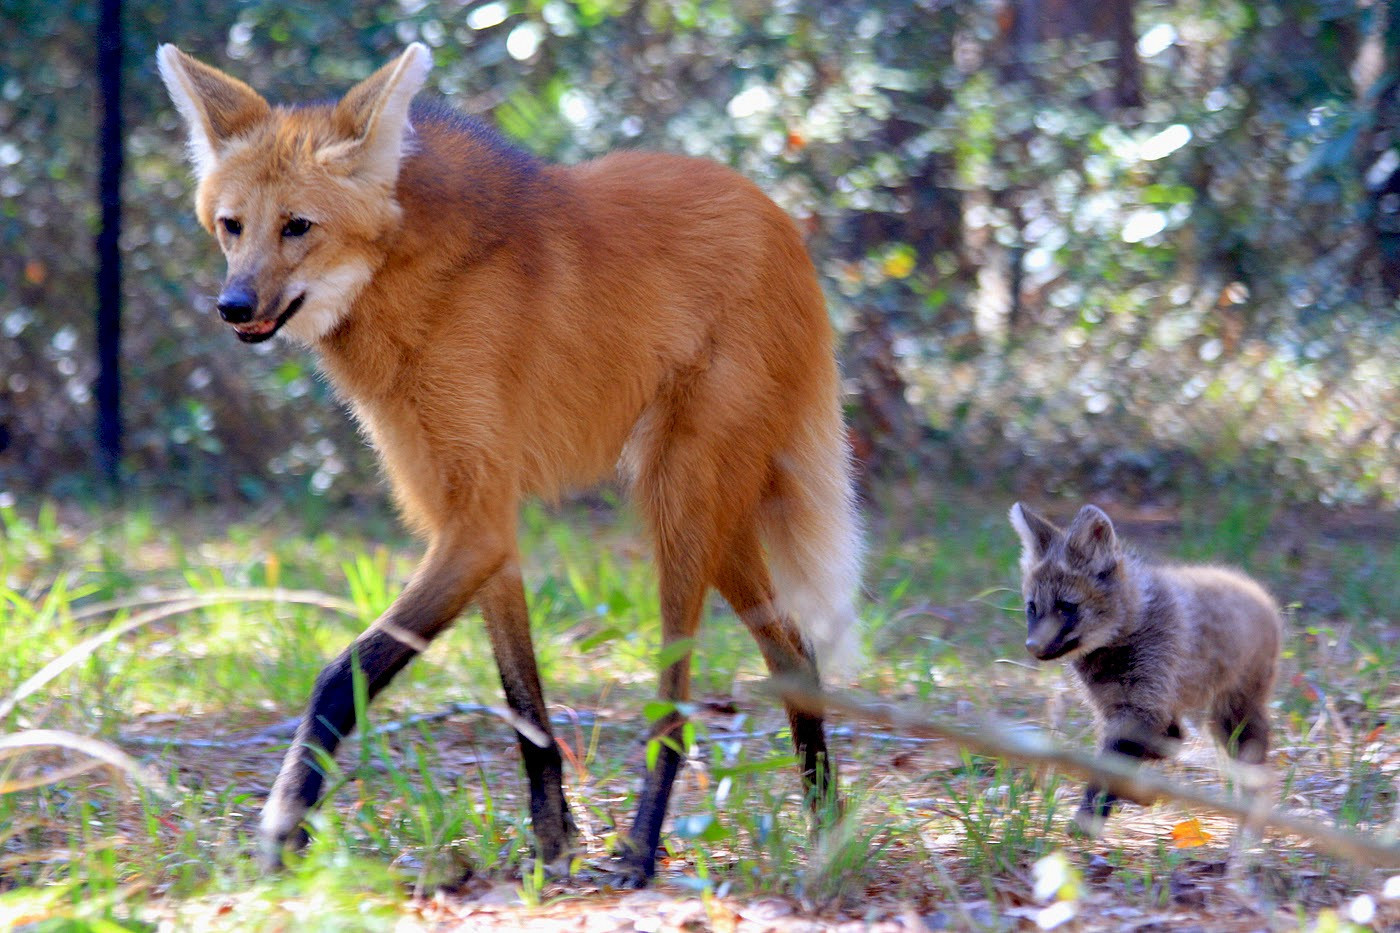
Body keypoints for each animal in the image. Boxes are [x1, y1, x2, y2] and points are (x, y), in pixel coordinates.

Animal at [156, 43, 862, 885]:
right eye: (232, 227)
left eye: (298, 227)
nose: (232, 305)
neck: (413, 278)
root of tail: (783, 225)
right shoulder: (474, 516)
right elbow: (523, 702)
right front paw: (552, 844)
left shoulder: (478, 521)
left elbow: (340, 675)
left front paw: (282, 827)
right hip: (706, 509)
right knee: (793, 647)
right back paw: (826, 829)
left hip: (680, 500)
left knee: (676, 696)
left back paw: (644, 851)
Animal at [1008, 504, 1282, 829]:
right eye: (1032, 608)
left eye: (1066, 607)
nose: (1033, 647)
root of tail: (1257, 591)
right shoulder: (1121, 707)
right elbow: (1157, 743)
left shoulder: (1142, 706)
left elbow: (1114, 767)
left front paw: (1088, 819)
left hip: (1235, 717)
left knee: (1254, 765)